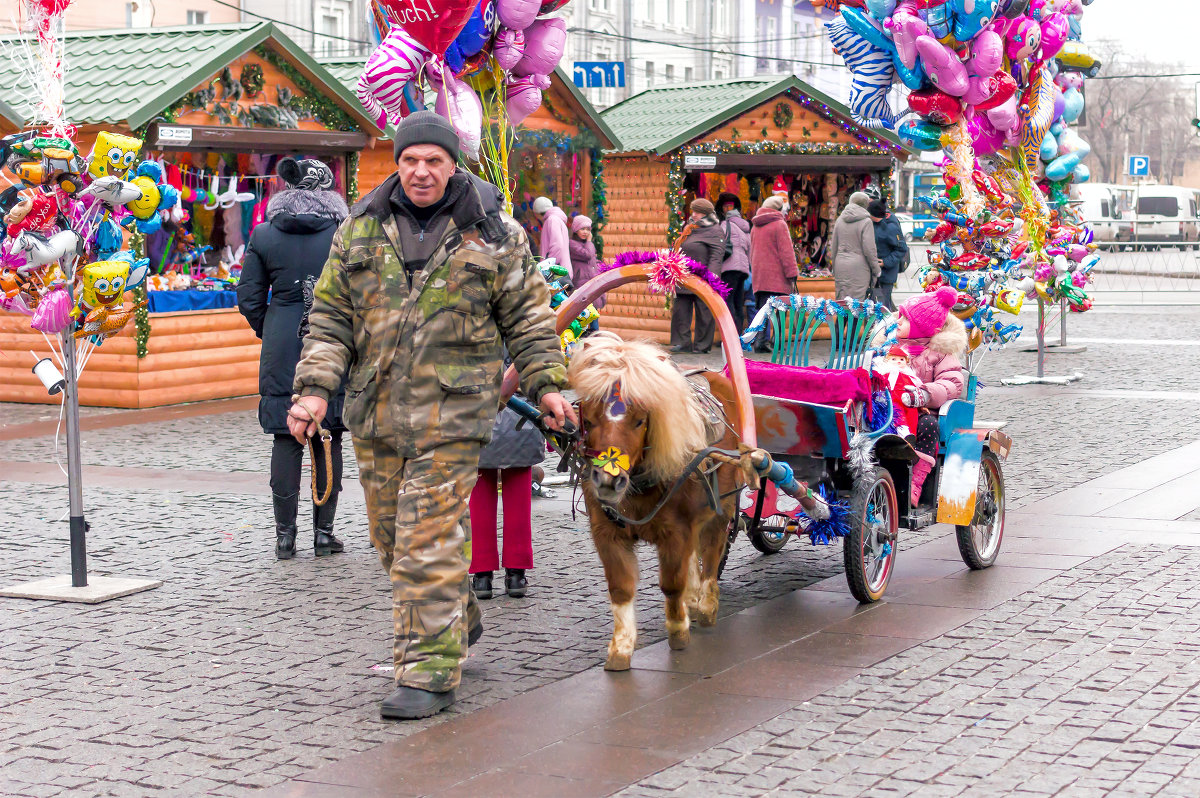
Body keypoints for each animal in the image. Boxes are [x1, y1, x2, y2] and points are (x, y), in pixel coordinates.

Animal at [566, 333, 744, 667]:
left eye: (639, 421)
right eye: (589, 419)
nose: (608, 481)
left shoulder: (677, 532)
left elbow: (671, 584)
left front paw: (678, 630)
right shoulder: (607, 533)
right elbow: (620, 588)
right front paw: (621, 648)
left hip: (722, 507)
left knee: (711, 552)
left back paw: (706, 604)